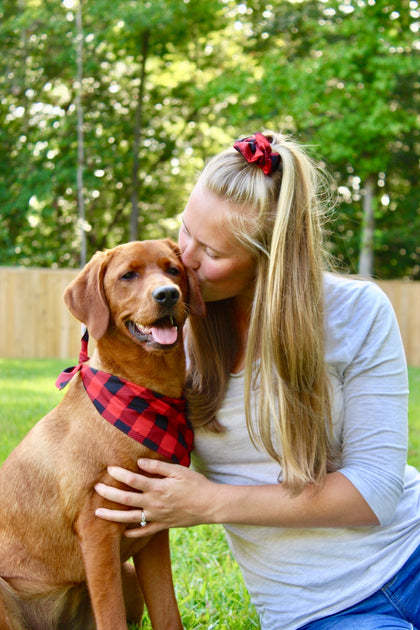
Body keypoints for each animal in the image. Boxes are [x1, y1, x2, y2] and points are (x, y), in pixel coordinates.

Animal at [0, 239, 205, 628]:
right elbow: (112, 618)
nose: (167, 294)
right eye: (128, 275)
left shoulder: (153, 527)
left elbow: (167, 612)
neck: (146, 392)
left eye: (173, 270)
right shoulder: (98, 530)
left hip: (128, 573)